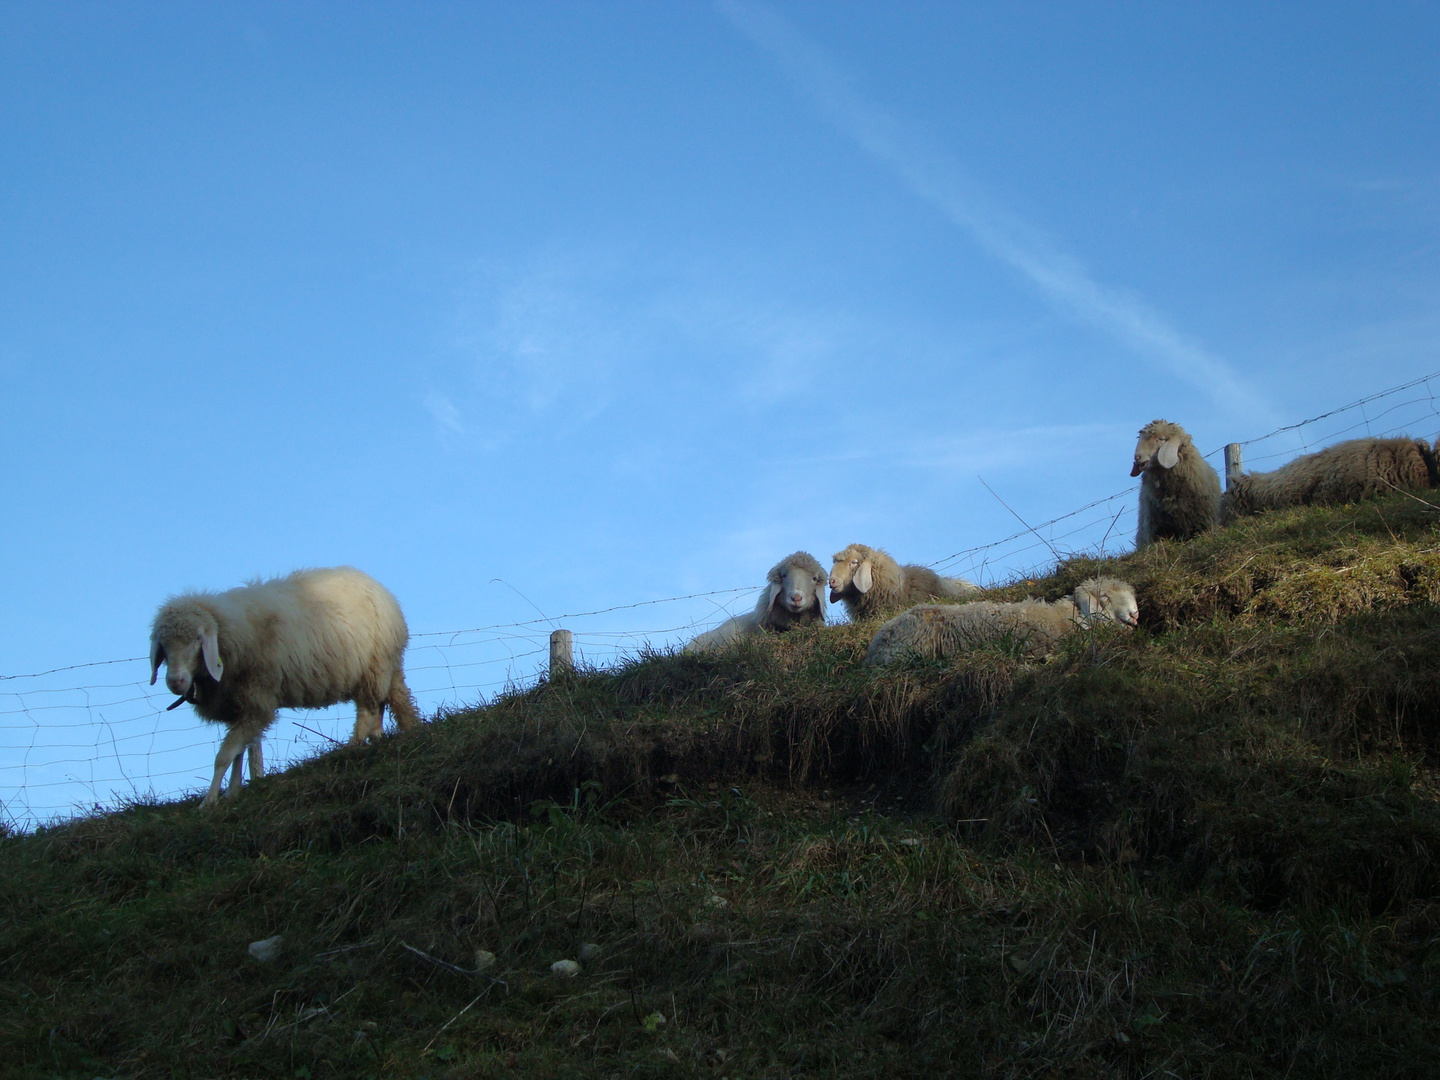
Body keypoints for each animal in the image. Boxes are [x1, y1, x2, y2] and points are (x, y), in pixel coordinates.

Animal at [151, 570, 420, 806]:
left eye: (198, 638)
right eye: (163, 643)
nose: (175, 682)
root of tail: (379, 589)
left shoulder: (257, 700)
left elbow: (225, 755)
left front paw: (208, 802)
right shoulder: (239, 705)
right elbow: (238, 753)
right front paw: (232, 793)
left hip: (374, 665)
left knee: (368, 709)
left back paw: (352, 746)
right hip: (385, 667)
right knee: (390, 702)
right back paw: (384, 735)